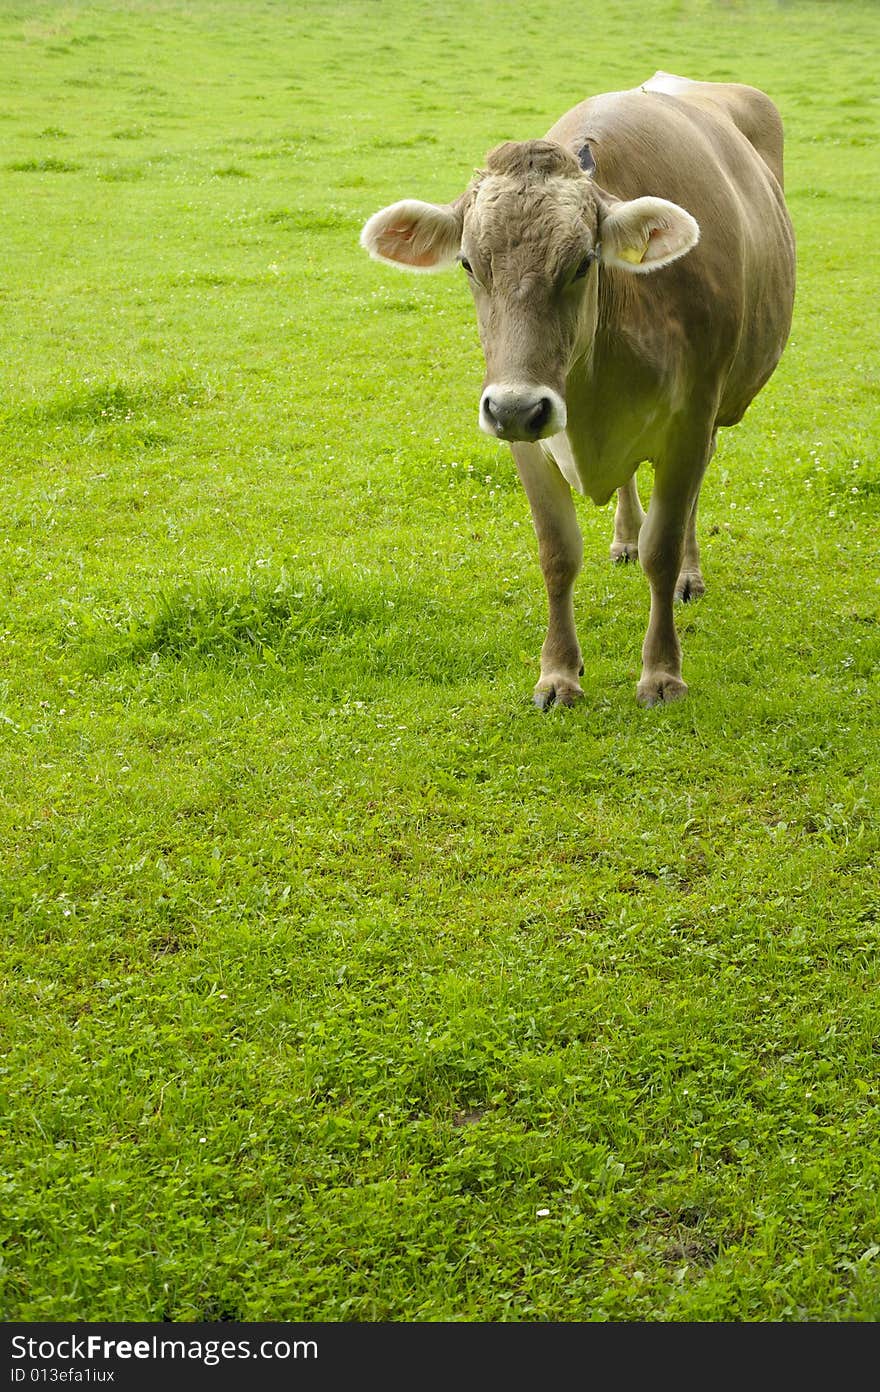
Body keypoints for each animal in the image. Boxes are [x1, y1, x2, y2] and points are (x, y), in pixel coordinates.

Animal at [362, 73, 796, 707]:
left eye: (583, 263)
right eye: (468, 264)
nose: (517, 406)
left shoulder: (691, 421)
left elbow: (663, 550)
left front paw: (661, 672)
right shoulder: (526, 437)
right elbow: (558, 553)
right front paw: (558, 674)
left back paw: (689, 573)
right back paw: (623, 538)